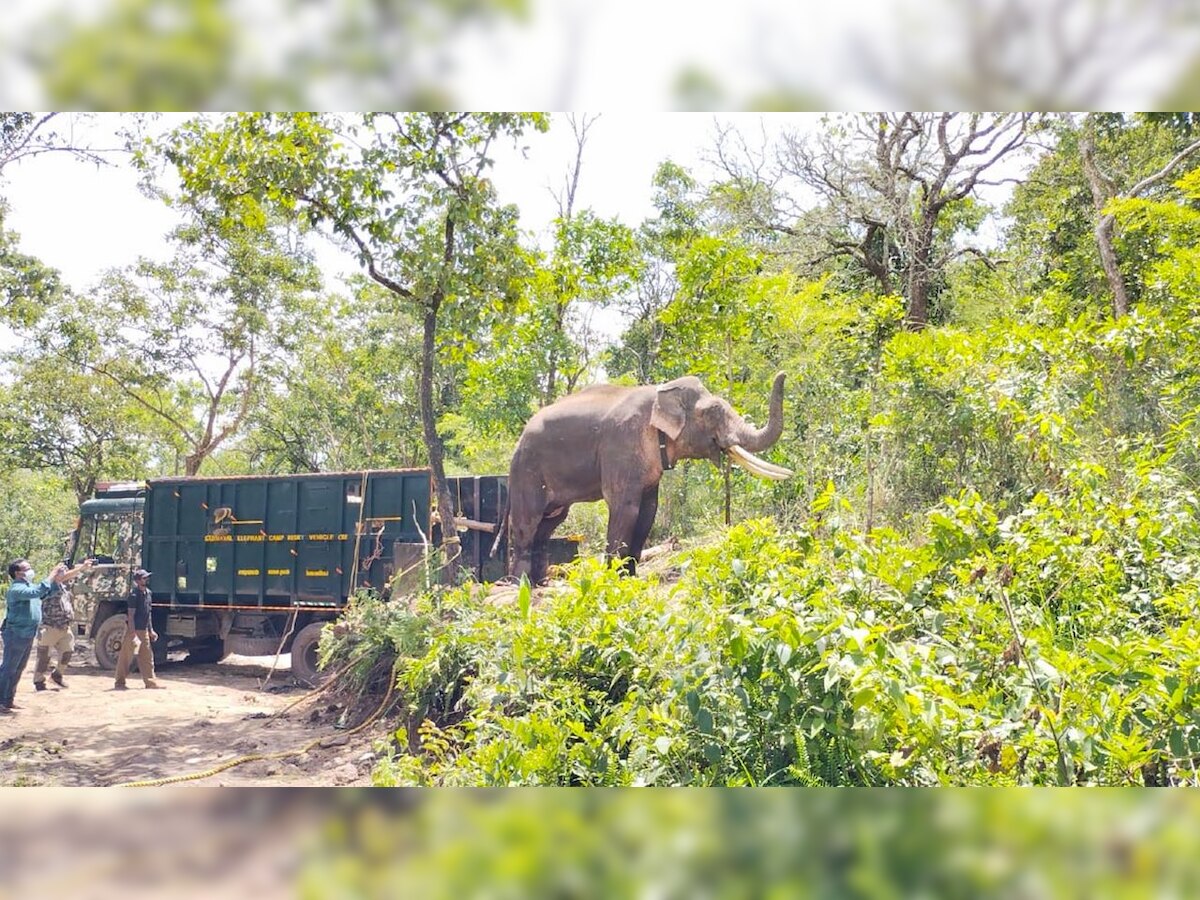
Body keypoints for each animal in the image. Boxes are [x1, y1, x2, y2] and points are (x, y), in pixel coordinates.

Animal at [499, 374, 792, 585]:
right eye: (713, 412)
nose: (783, 375)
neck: (661, 392)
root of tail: (519, 438)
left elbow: (649, 511)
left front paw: (630, 578)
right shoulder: (621, 447)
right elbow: (625, 508)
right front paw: (613, 580)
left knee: (550, 522)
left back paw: (540, 583)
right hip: (526, 470)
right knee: (528, 522)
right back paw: (519, 585)